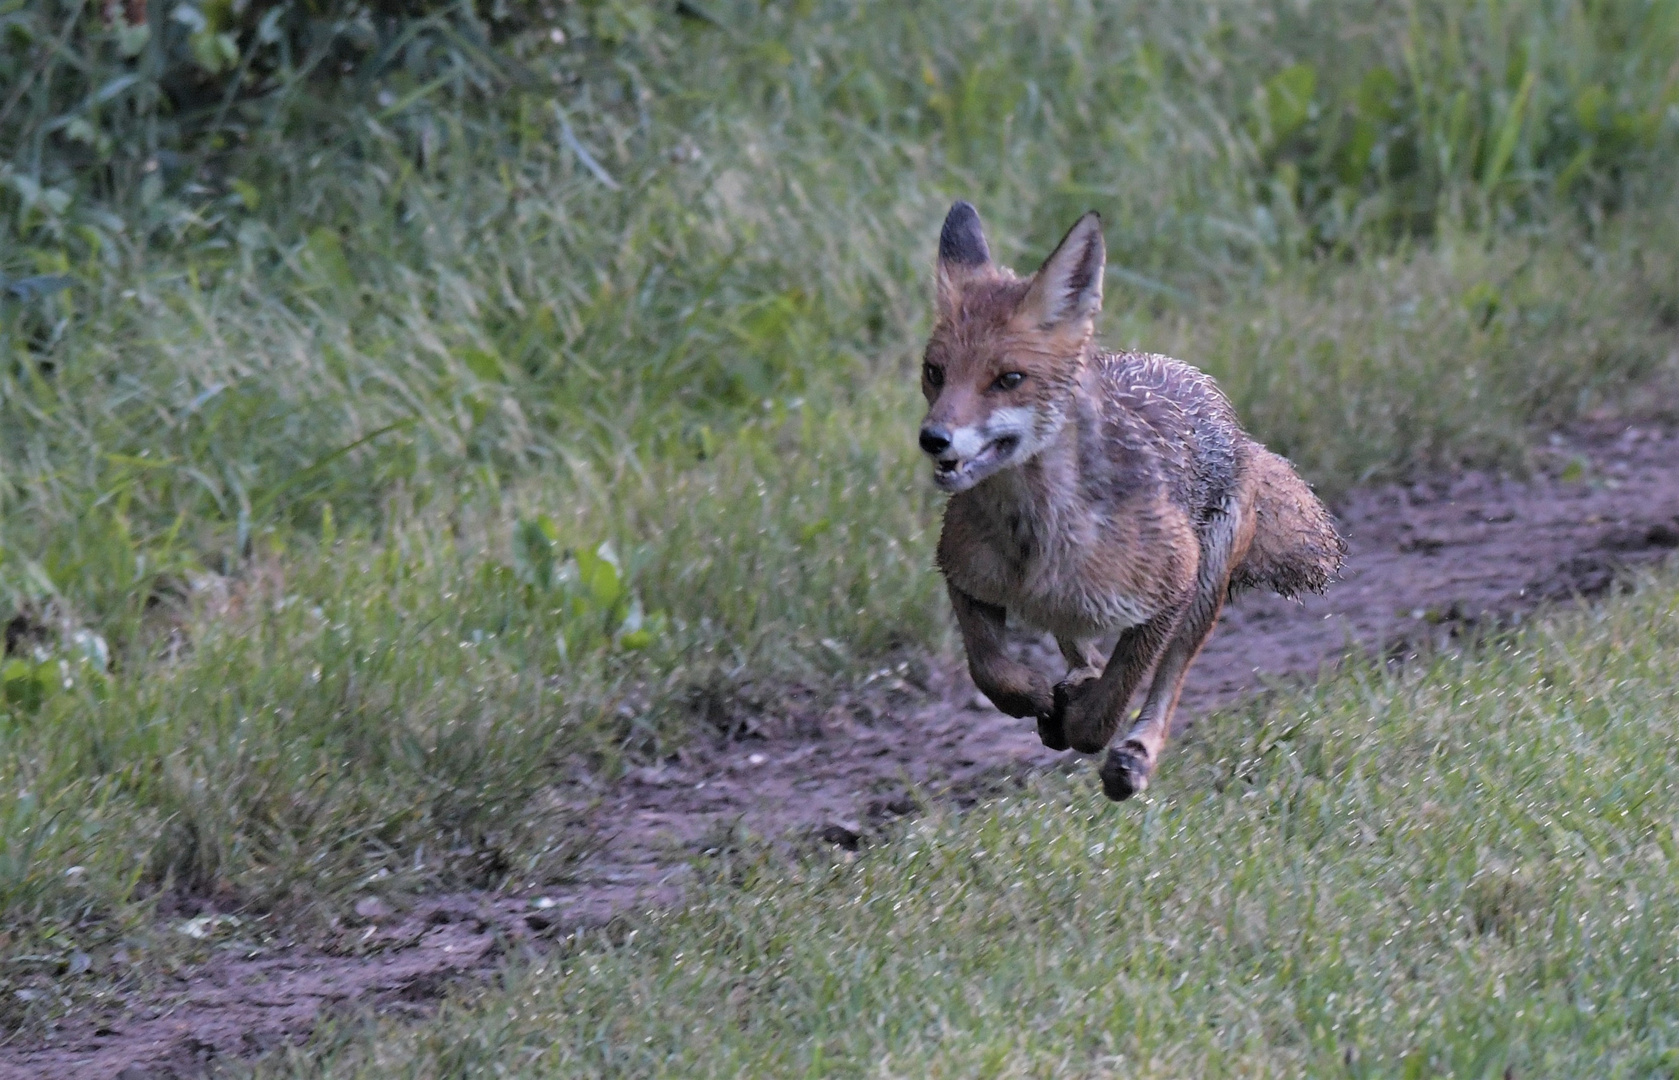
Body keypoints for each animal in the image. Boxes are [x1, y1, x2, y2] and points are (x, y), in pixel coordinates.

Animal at [920, 200, 1336, 802]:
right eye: (934, 372)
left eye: (1009, 379)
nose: (934, 438)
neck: (1035, 546)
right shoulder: (963, 572)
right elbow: (991, 671)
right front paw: (1038, 698)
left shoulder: (1170, 589)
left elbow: (1113, 702)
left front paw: (1083, 722)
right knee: (1075, 641)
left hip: (1205, 585)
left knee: (1168, 677)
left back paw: (1134, 751)